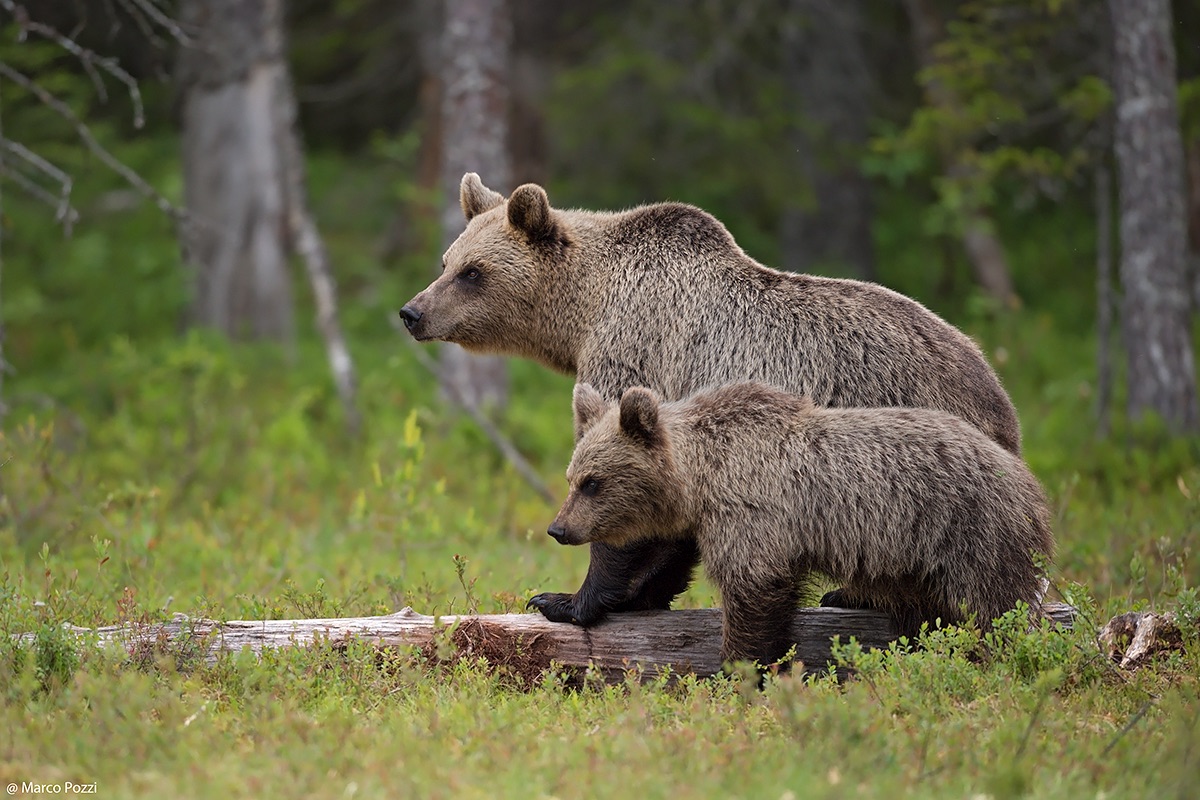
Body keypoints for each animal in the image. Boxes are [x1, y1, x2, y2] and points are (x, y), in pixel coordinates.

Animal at [399, 174, 1023, 628]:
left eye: (473, 272)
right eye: (446, 262)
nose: (412, 311)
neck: (585, 312)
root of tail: (999, 400)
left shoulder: (639, 356)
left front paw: (564, 599)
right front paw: (641, 594)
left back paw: (855, 594)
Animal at [551, 382, 1054, 667]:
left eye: (593, 482)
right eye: (572, 477)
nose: (559, 529)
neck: (704, 476)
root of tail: (1029, 481)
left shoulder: (754, 514)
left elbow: (753, 591)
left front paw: (739, 671)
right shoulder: (705, 522)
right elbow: (662, 561)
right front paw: (564, 601)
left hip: (970, 532)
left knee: (995, 607)